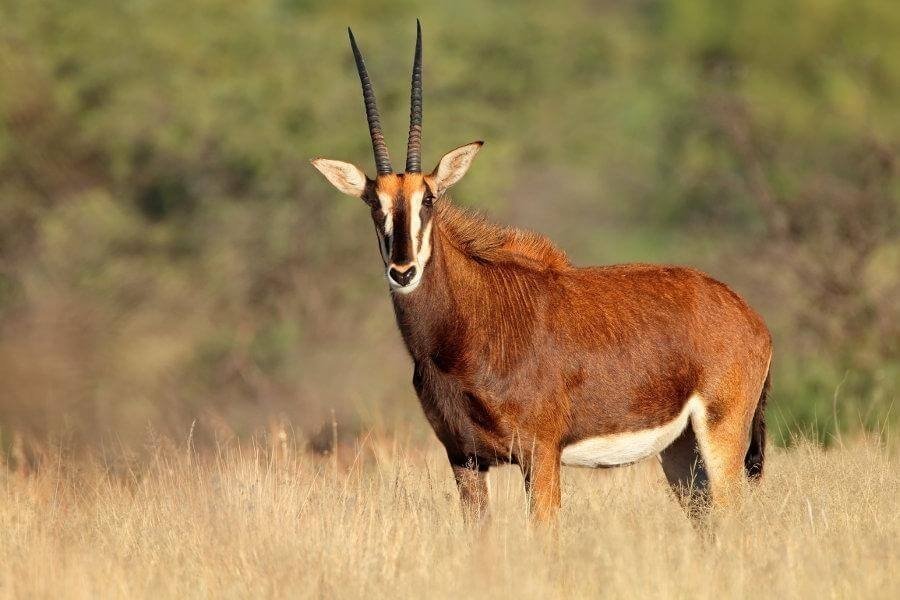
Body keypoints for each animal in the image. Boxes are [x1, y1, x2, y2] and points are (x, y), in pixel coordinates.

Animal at [311, 22, 772, 522]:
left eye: (429, 198)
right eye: (373, 204)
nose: (402, 271)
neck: (467, 327)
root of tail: (749, 316)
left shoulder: (540, 452)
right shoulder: (464, 458)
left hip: (721, 434)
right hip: (680, 450)